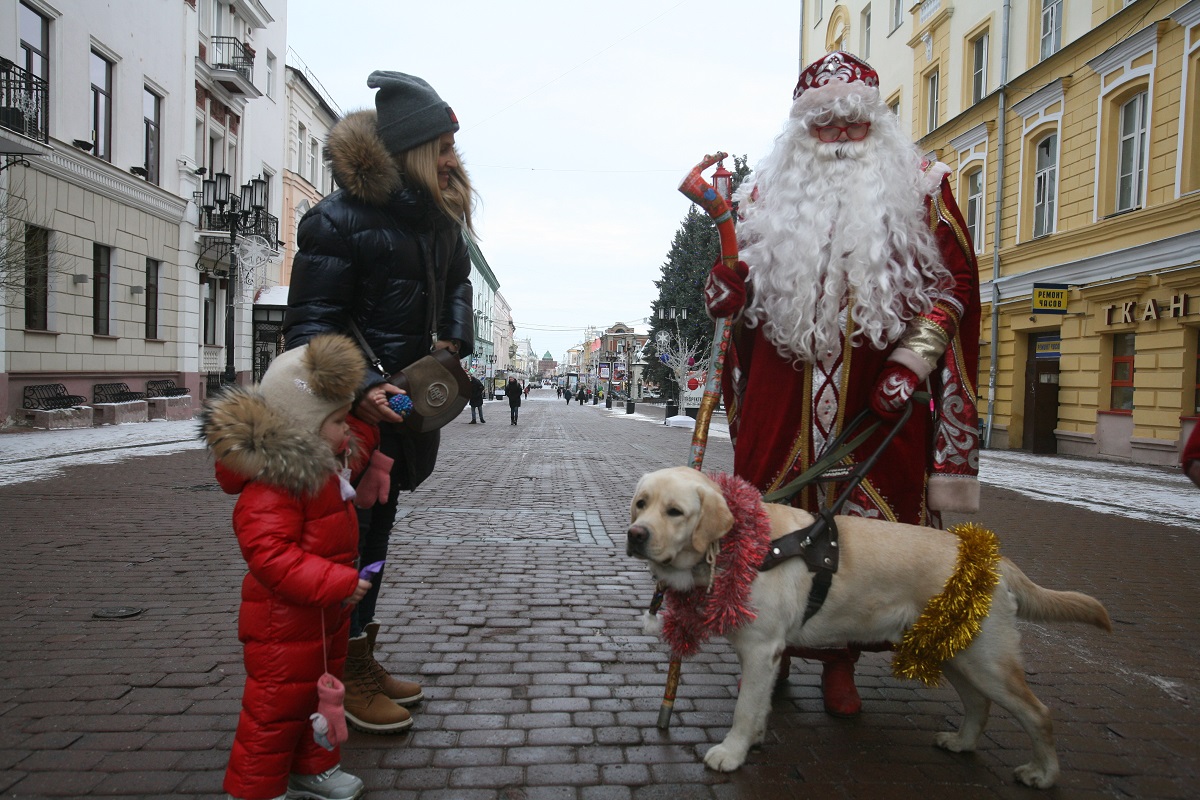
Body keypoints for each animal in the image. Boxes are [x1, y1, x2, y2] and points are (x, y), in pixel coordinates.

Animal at [633, 470, 1108, 786]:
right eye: (641, 503)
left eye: (675, 511)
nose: (635, 534)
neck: (741, 547)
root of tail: (992, 560)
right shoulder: (765, 655)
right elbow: (760, 703)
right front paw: (754, 740)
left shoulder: (760, 647)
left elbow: (744, 708)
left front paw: (731, 753)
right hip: (955, 651)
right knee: (979, 704)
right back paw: (961, 743)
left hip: (988, 660)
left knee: (1038, 713)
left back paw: (1043, 774)